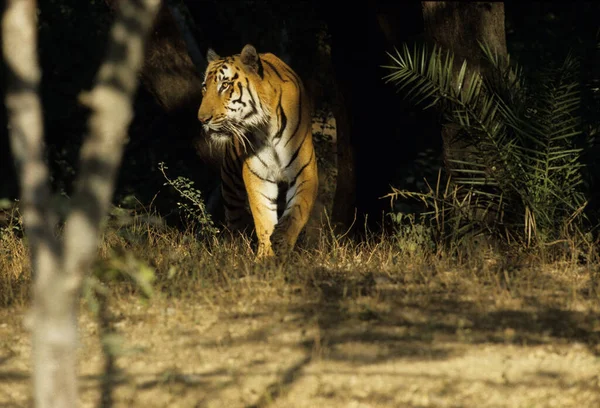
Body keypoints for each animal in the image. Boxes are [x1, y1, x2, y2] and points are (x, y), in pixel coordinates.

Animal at [198, 43, 318, 256]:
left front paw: (283, 240)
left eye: (225, 85)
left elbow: (298, 210)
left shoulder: (305, 169)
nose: (202, 119)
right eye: (205, 87)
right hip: (230, 182)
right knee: (234, 218)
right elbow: (263, 216)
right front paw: (265, 256)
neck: (266, 128)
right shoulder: (257, 173)